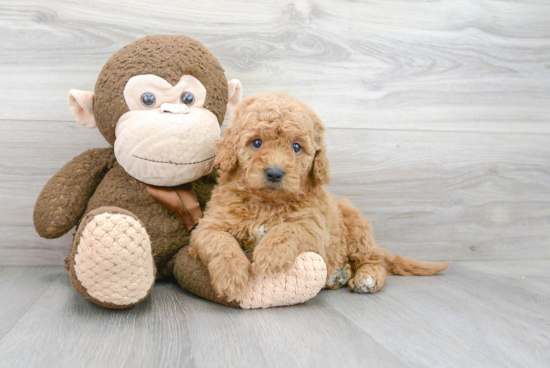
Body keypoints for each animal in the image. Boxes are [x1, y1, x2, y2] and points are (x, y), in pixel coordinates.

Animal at [192, 92, 450, 302]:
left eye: (296, 147)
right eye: (256, 142)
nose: (274, 173)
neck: (267, 204)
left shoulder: (313, 227)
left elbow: (287, 230)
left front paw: (269, 255)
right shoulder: (208, 226)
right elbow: (221, 242)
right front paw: (232, 276)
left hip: (357, 229)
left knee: (374, 259)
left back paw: (367, 278)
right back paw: (340, 275)